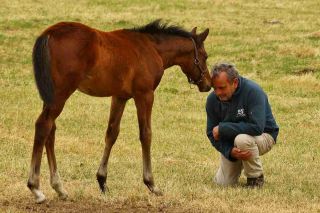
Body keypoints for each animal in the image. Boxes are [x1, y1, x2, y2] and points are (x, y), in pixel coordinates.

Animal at [28, 20, 212, 203]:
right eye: (205, 56)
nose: (208, 84)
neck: (152, 48)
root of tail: (49, 33)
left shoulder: (119, 97)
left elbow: (112, 133)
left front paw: (102, 181)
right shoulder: (144, 95)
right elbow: (146, 134)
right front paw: (151, 183)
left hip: (51, 96)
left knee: (50, 130)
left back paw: (59, 187)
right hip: (61, 94)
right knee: (43, 125)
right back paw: (35, 187)